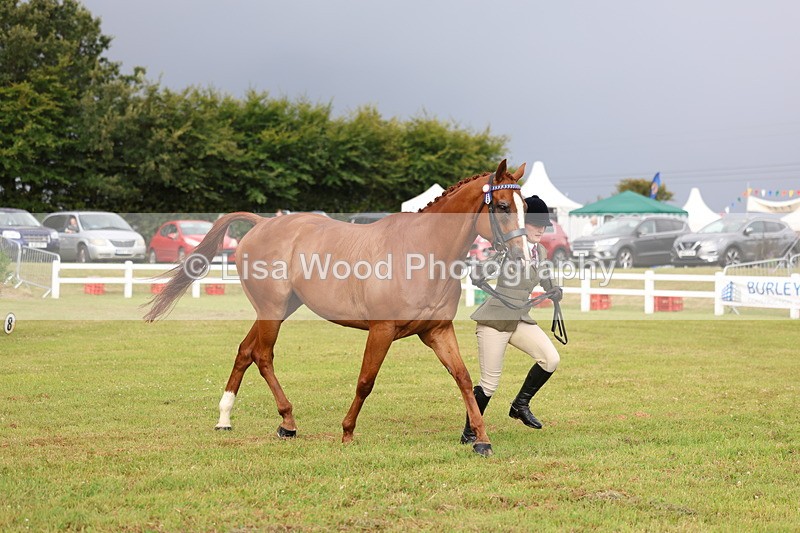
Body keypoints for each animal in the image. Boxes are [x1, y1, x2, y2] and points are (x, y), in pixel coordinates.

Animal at [144, 159, 531, 456]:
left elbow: (464, 378)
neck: (422, 251)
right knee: (263, 356)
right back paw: (287, 421)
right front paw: (347, 431)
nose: (525, 257)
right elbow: (365, 381)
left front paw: (481, 439)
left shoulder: (437, 331)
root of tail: (262, 223)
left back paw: (225, 418)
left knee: (245, 350)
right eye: (501, 207)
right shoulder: (381, 330)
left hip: (278, 309)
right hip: (272, 310)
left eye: (525, 207)